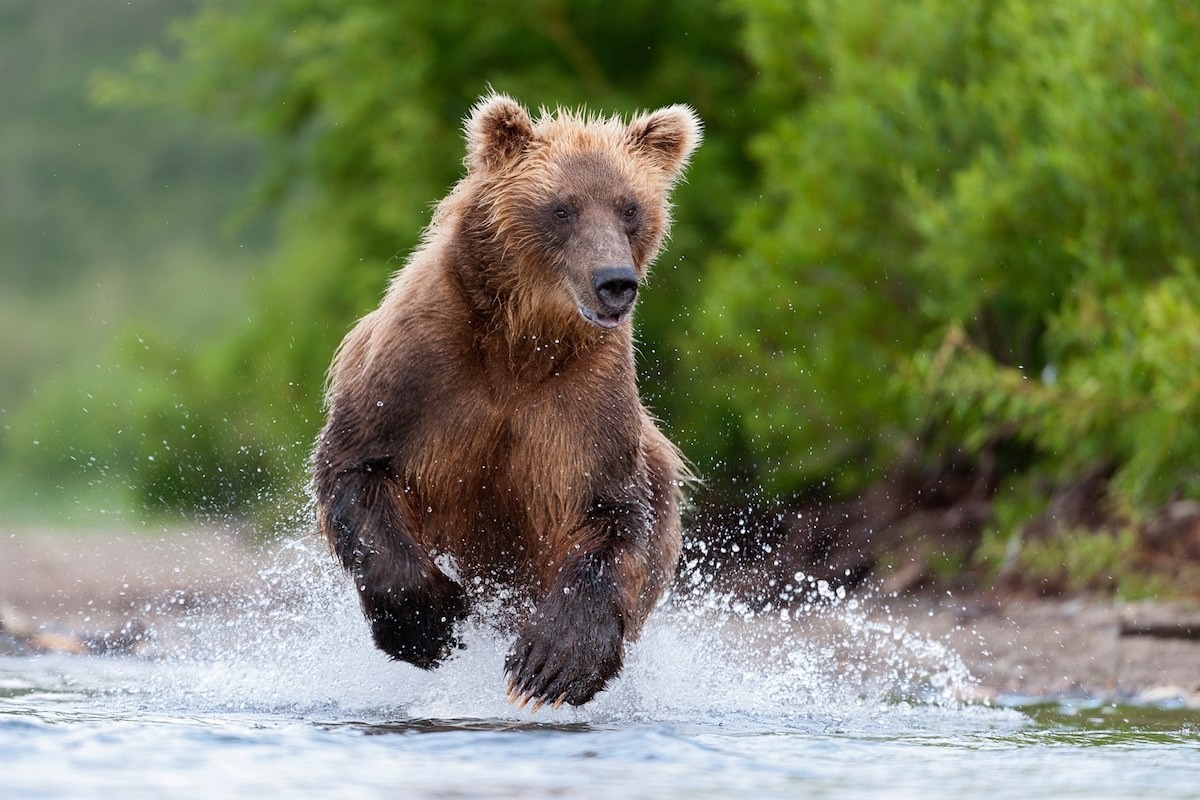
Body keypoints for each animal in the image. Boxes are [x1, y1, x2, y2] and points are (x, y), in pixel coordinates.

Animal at [312, 90, 700, 710]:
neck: (522, 345)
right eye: (562, 209)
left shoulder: (586, 404)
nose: (614, 282)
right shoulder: (419, 371)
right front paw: (431, 621)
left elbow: (612, 516)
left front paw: (551, 664)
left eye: (629, 207)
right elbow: (357, 469)